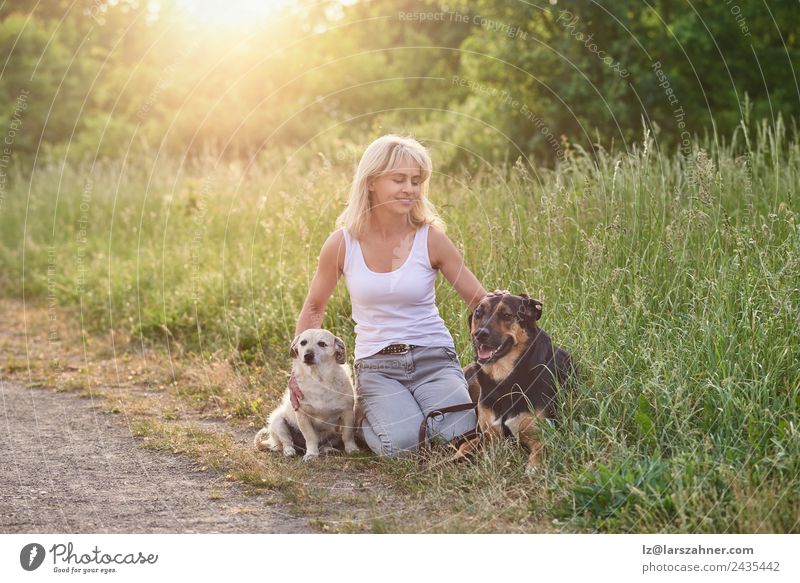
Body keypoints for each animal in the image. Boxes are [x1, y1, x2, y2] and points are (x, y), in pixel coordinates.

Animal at [255, 330, 358, 464]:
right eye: (303, 342)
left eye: (322, 344)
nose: (308, 355)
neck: (318, 380)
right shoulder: (302, 416)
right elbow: (310, 438)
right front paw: (312, 454)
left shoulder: (348, 413)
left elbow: (347, 435)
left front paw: (352, 449)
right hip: (278, 422)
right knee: (286, 442)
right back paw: (289, 452)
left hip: (335, 433)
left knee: (326, 444)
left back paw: (328, 450)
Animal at [456, 292, 576, 474]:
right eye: (478, 313)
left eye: (506, 315)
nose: (479, 334)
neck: (505, 380)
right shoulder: (491, 437)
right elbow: (475, 445)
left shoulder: (544, 435)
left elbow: (540, 452)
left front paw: (533, 468)